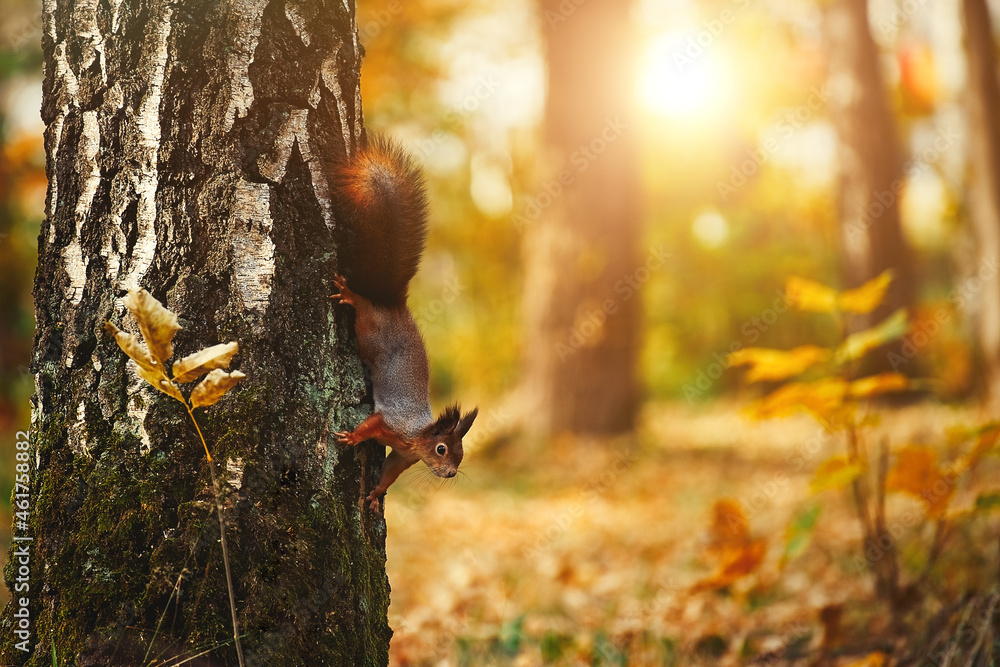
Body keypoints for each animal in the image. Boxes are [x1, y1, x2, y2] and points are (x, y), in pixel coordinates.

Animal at [328, 136, 476, 512]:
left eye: (461, 454)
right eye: (441, 449)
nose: (450, 474)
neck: (416, 438)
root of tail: (392, 305)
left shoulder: (402, 457)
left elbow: (389, 473)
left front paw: (375, 495)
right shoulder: (392, 423)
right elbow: (370, 424)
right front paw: (351, 437)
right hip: (368, 332)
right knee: (363, 309)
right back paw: (351, 295)